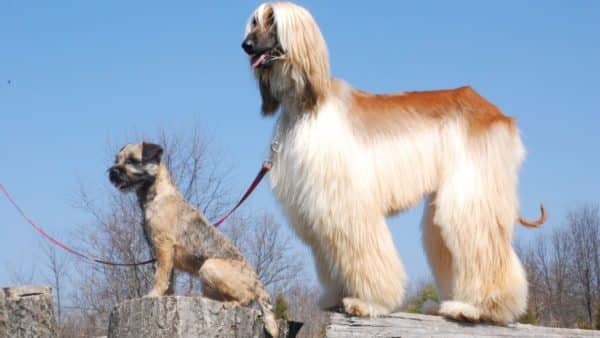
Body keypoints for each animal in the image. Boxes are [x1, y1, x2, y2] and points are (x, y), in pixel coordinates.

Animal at [241, 1, 548, 324]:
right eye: (254, 22)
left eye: (272, 20)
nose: (245, 45)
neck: (306, 105)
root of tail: (499, 115)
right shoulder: (316, 203)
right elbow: (330, 252)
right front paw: (335, 296)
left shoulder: (345, 200)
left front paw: (367, 301)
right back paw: (446, 304)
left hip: (472, 189)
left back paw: (477, 308)